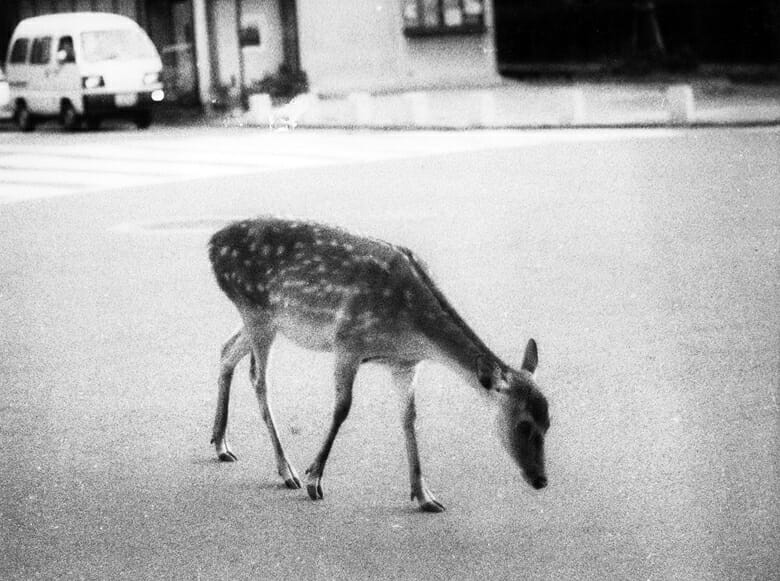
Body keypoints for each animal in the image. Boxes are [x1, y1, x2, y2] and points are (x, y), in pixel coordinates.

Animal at [207, 215, 548, 510]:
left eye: (549, 422)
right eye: (523, 424)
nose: (541, 480)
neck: (412, 329)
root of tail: (212, 245)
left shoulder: (405, 364)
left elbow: (409, 418)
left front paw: (425, 496)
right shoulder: (347, 341)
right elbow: (342, 409)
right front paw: (315, 479)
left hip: (265, 319)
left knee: (226, 350)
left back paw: (221, 444)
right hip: (257, 311)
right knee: (258, 379)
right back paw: (286, 470)